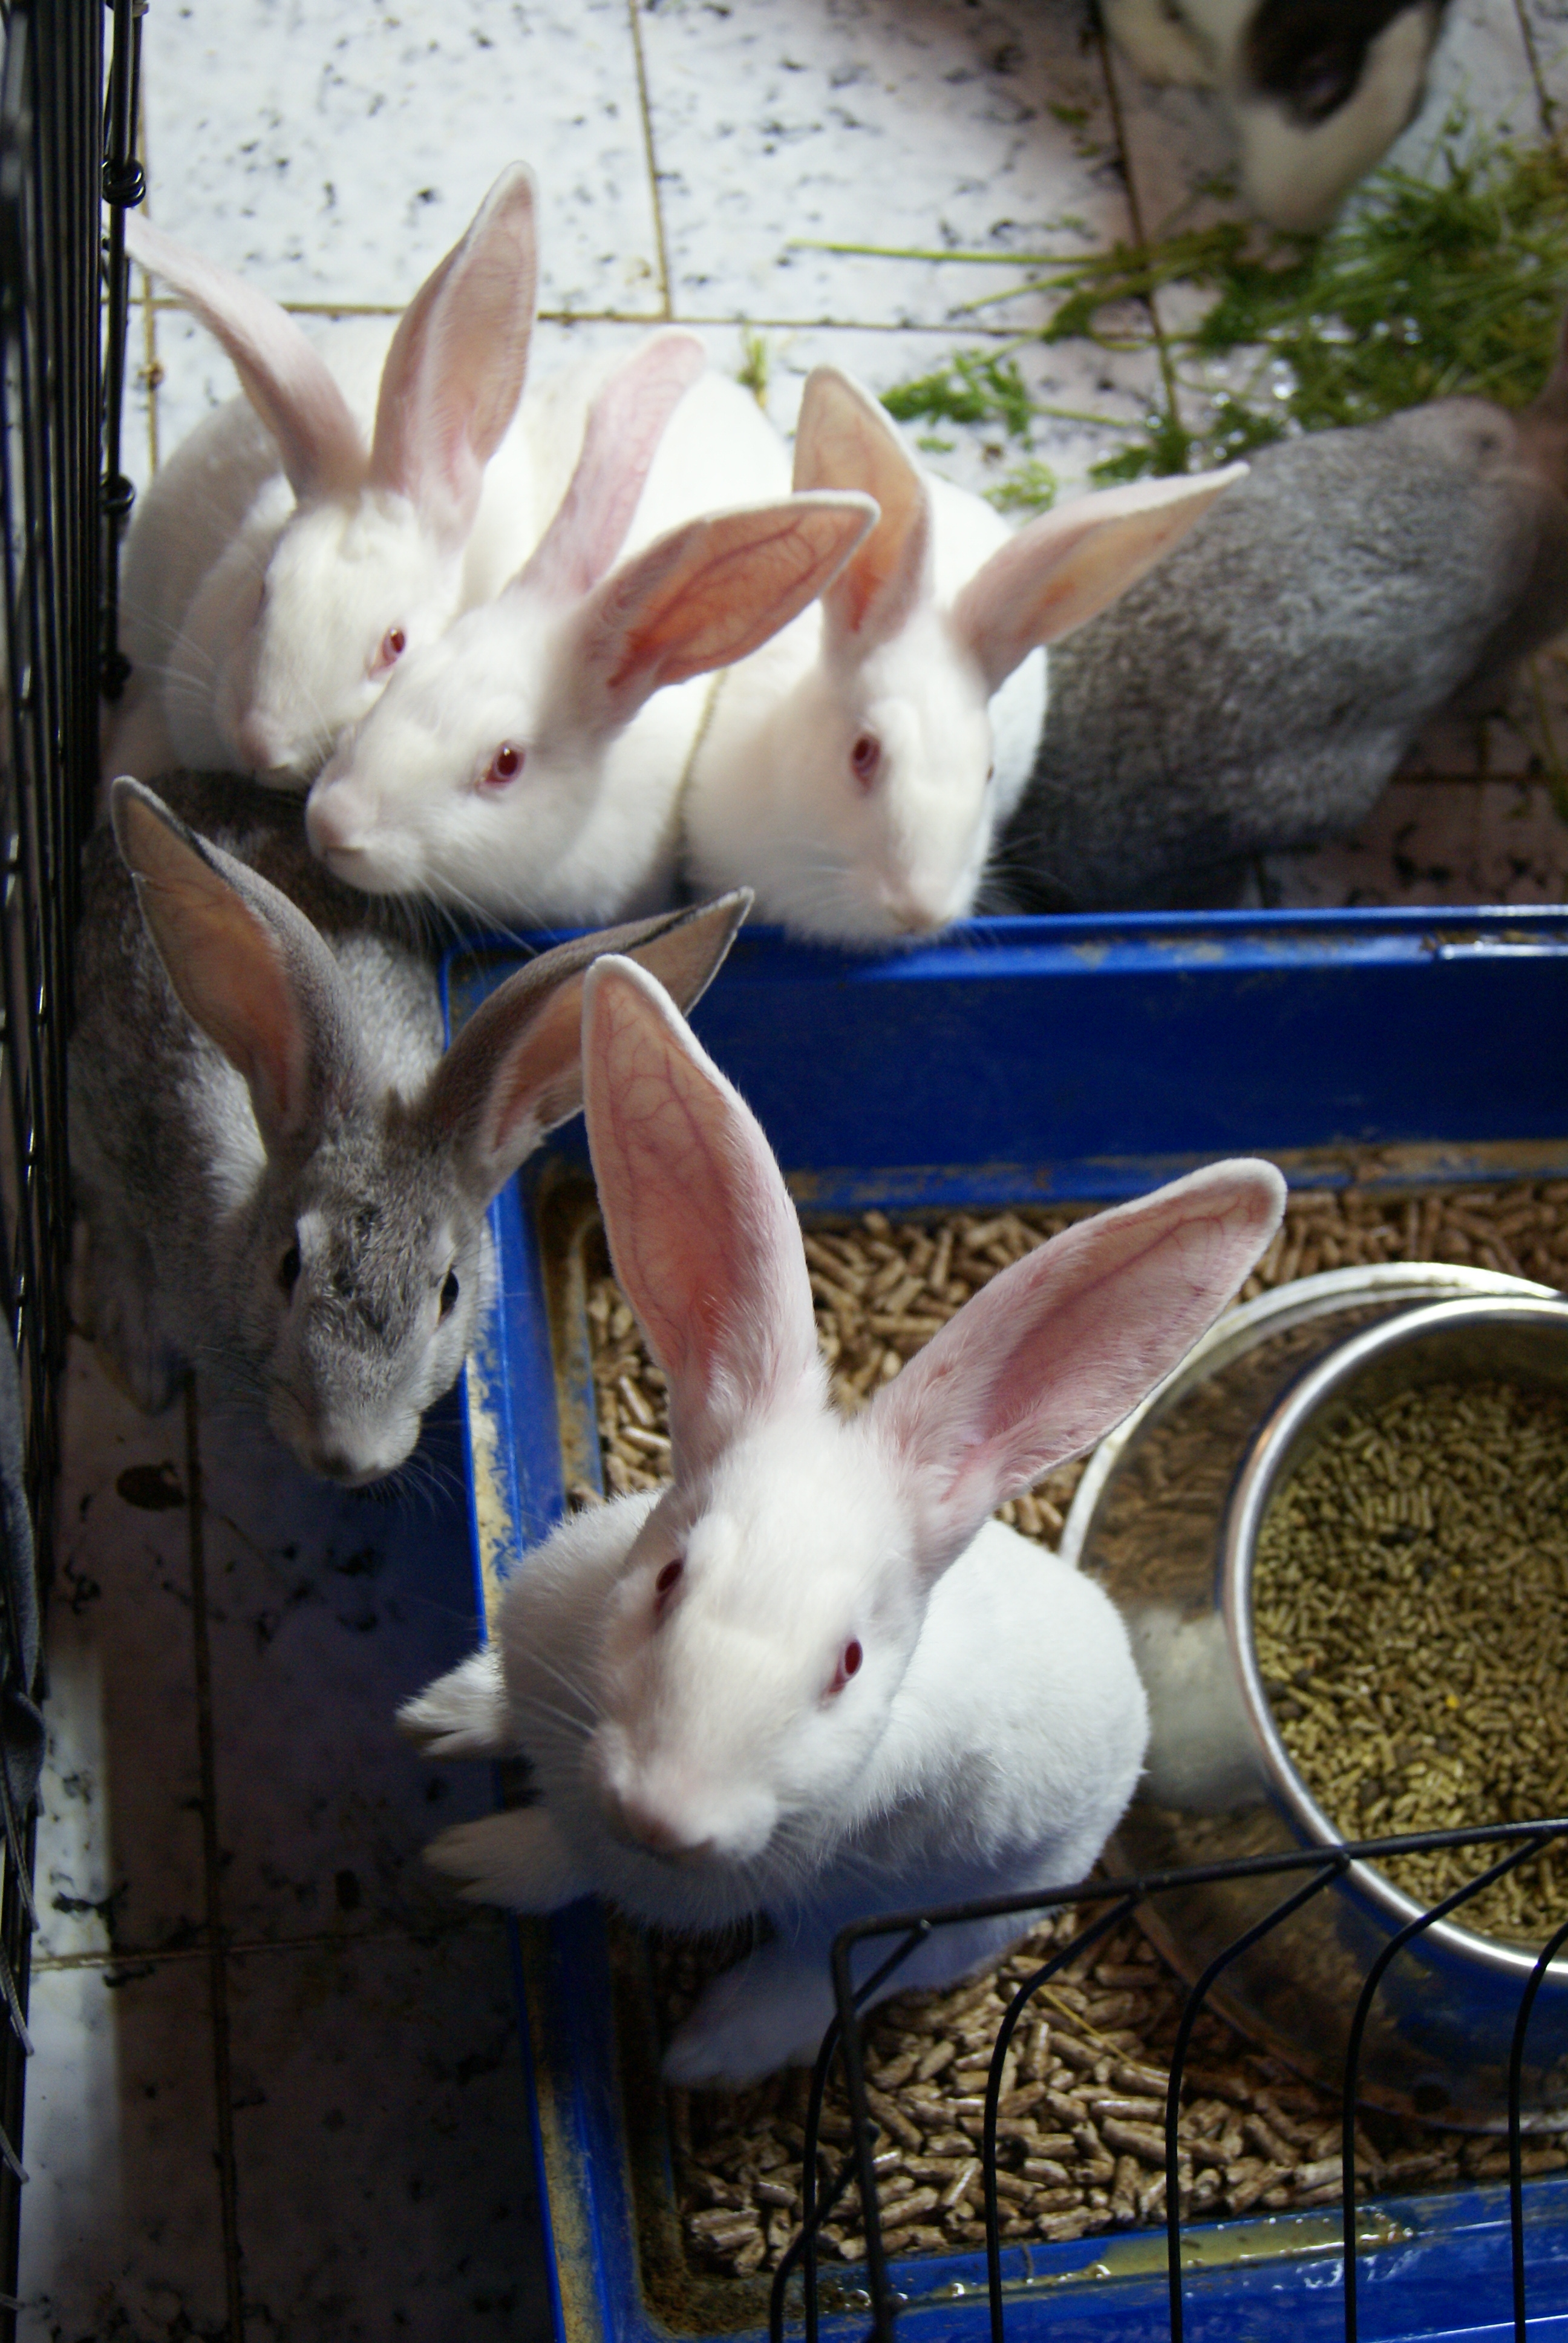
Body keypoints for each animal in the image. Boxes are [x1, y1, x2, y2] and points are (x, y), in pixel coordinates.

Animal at [398, 950, 1286, 2085]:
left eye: (850, 1663)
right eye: (668, 1578)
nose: (665, 1813)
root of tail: (1138, 1700)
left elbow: (566, 1862)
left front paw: (467, 1863)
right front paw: (442, 1720)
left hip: (930, 1922)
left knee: (826, 1977)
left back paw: (705, 2053)